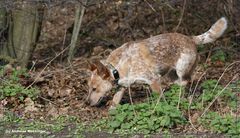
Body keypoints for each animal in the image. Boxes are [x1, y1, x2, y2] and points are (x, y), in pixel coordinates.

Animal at [86, 17, 227, 108]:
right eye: (89, 88)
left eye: (94, 88)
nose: (86, 103)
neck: (117, 68)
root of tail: (190, 38)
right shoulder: (122, 86)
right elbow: (115, 103)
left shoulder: (153, 80)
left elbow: (161, 100)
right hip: (172, 75)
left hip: (181, 70)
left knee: (186, 81)